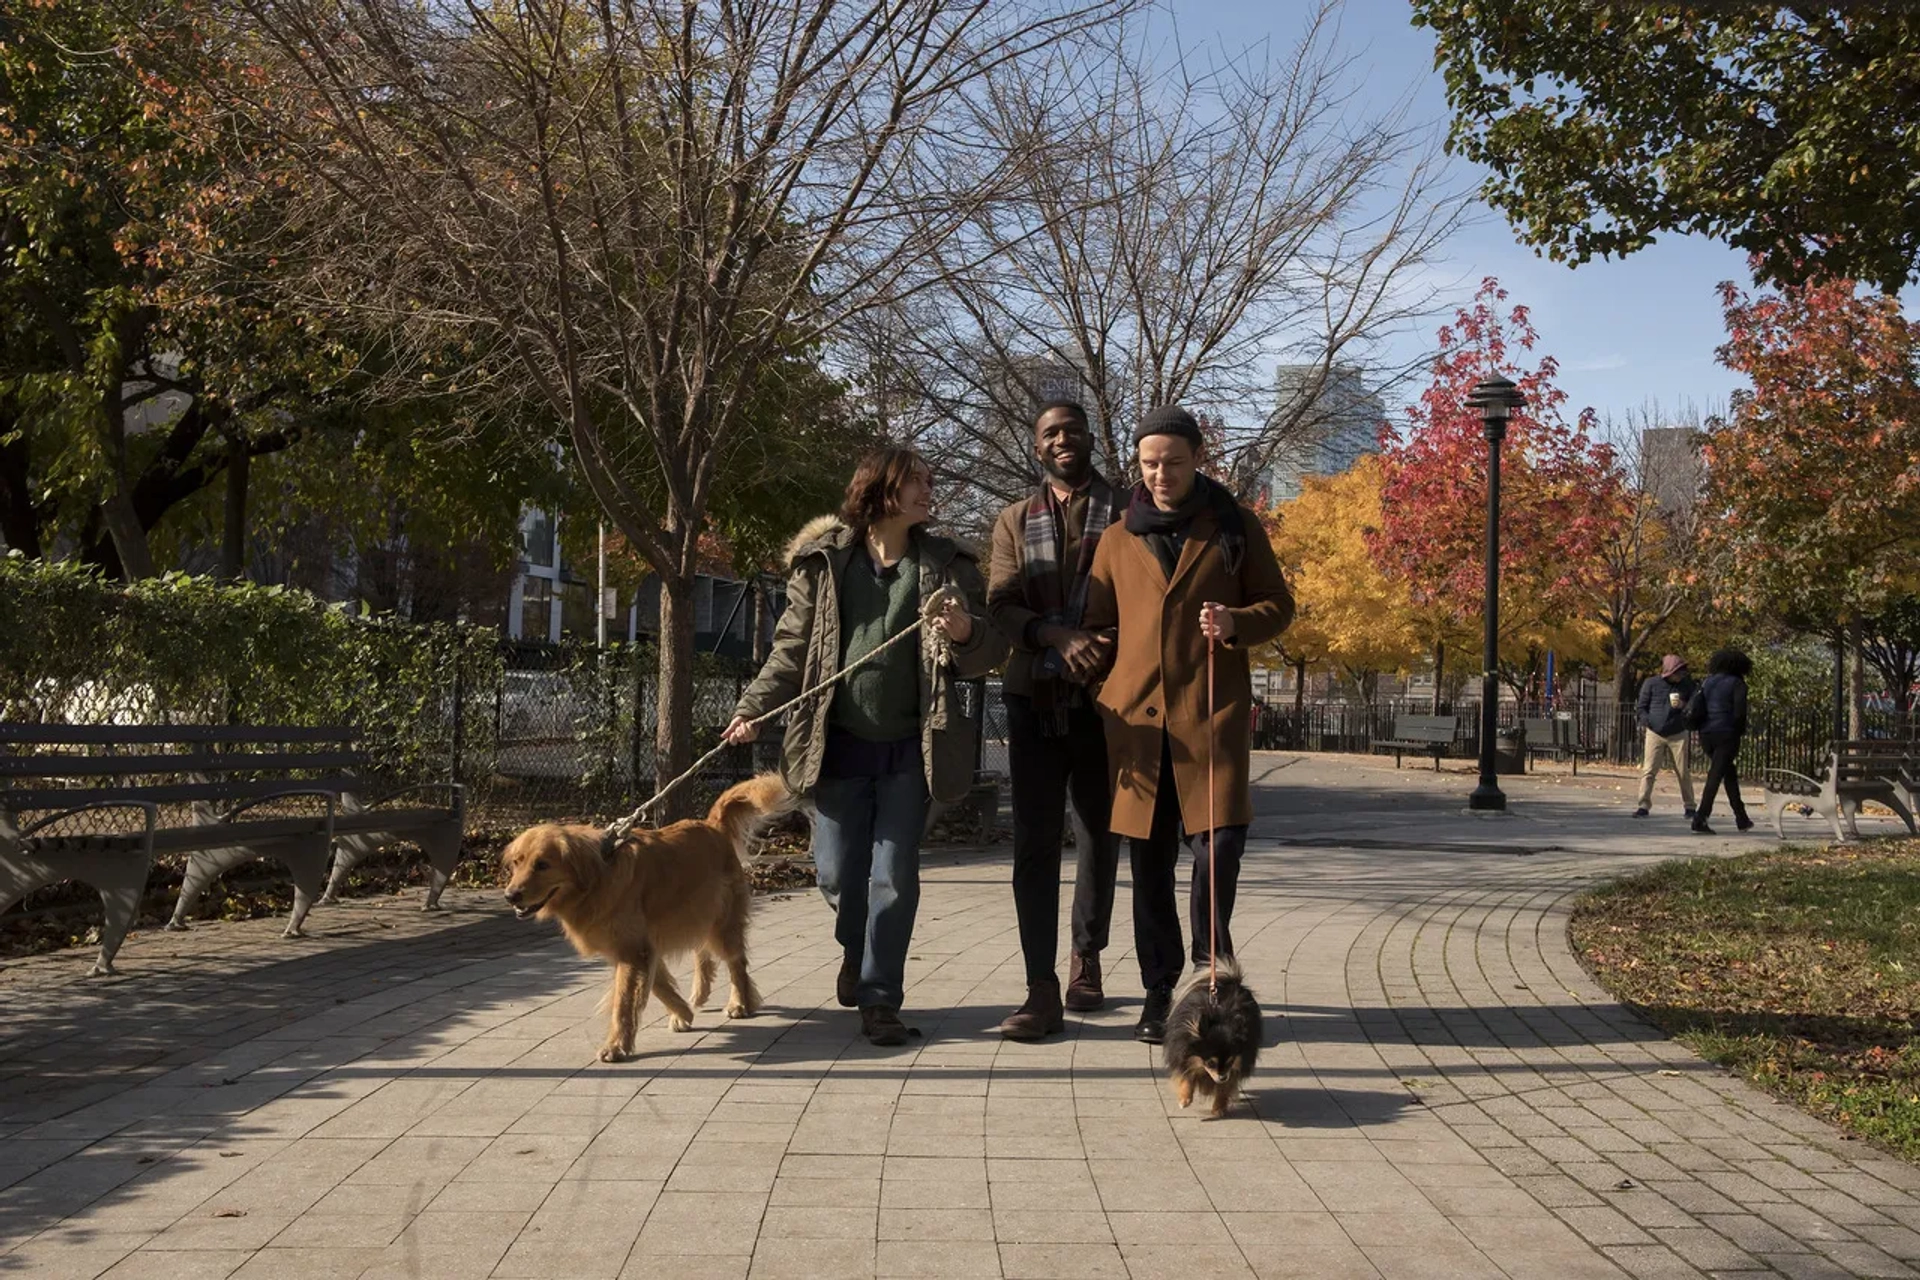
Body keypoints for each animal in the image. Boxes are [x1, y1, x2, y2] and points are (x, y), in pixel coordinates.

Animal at [1159, 955, 1267, 1113]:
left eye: (1230, 1061)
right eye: (1210, 1062)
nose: (1222, 1077)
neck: (1220, 1016)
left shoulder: (1233, 1069)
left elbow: (1224, 1088)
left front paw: (1218, 1107)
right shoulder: (1182, 1053)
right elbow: (1187, 1077)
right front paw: (1185, 1099)